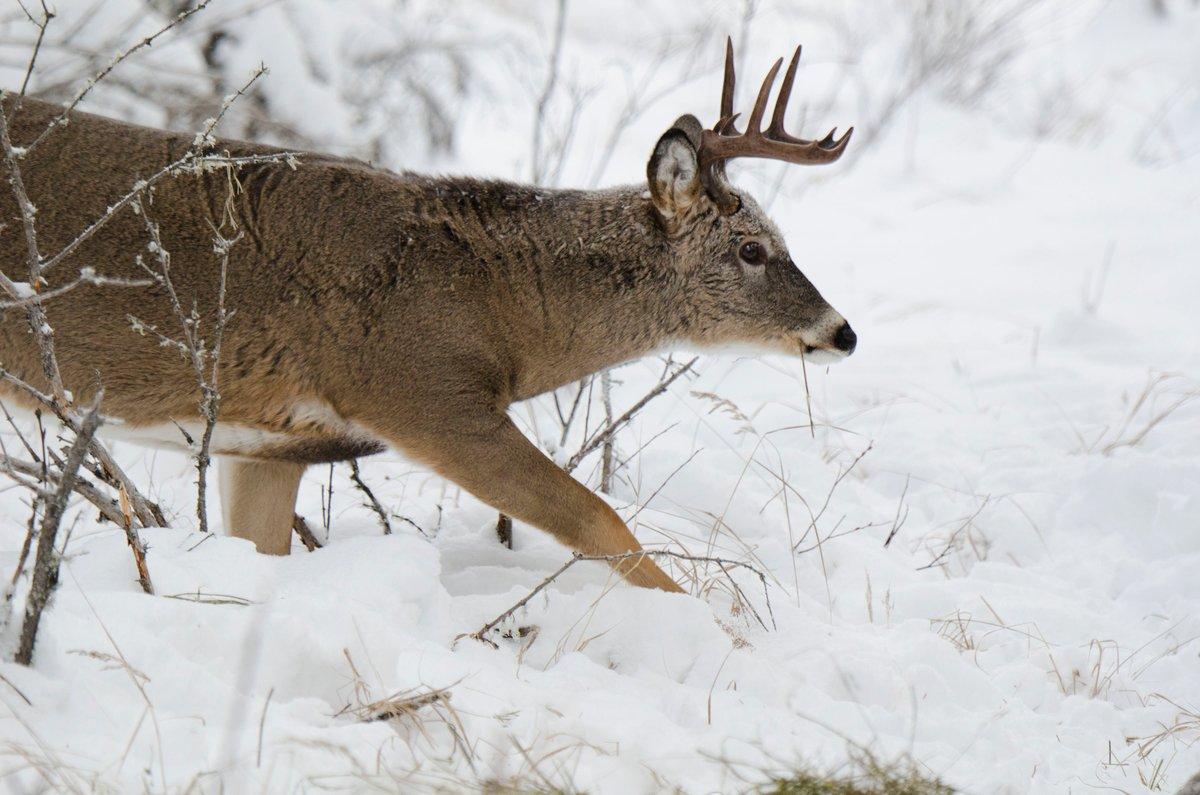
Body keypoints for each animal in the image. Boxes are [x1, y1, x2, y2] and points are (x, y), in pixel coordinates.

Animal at [4, 40, 859, 595]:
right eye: (752, 248)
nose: (841, 331)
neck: (496, 302)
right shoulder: (424, 390)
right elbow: (597, 519)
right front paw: (717, 630)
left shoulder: (272, 442)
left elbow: (259, 554)